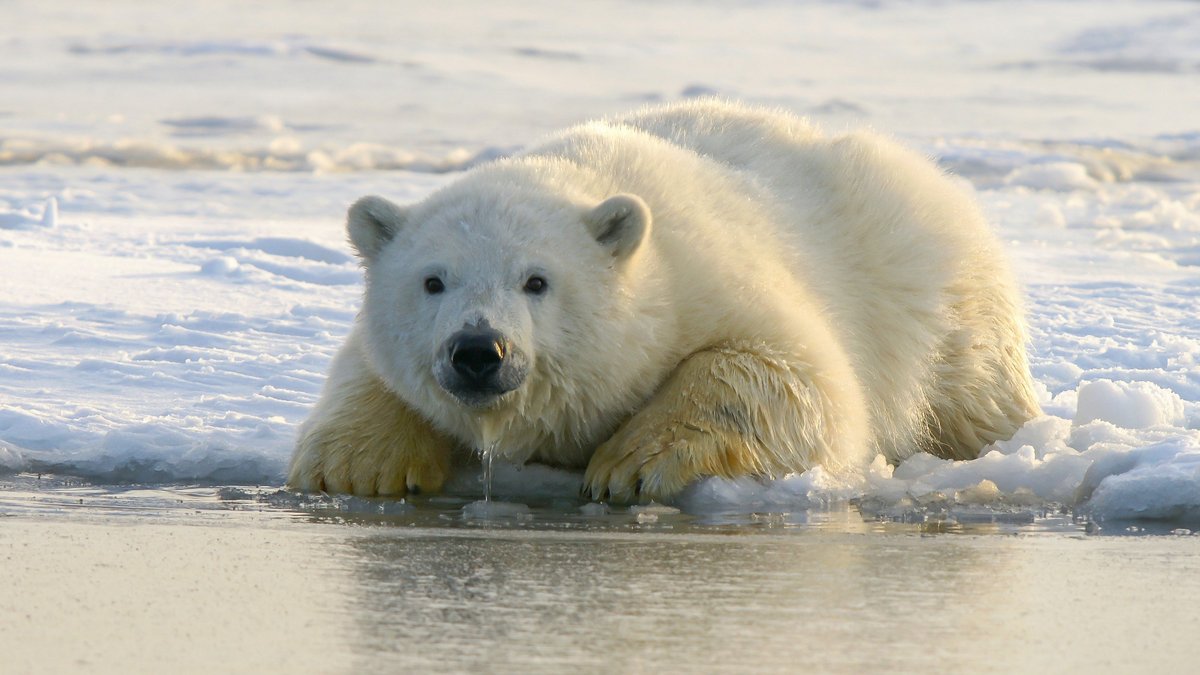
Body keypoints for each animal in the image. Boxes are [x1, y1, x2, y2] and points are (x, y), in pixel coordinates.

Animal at [288, 98, 1041, 499]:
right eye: (433, 280)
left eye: (536, 280)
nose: (479, 350)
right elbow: (366, 369)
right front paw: (357, 467)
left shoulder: (712, 279)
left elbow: (796, 378)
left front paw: (629, 465)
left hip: (934, 293)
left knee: (973, 390)